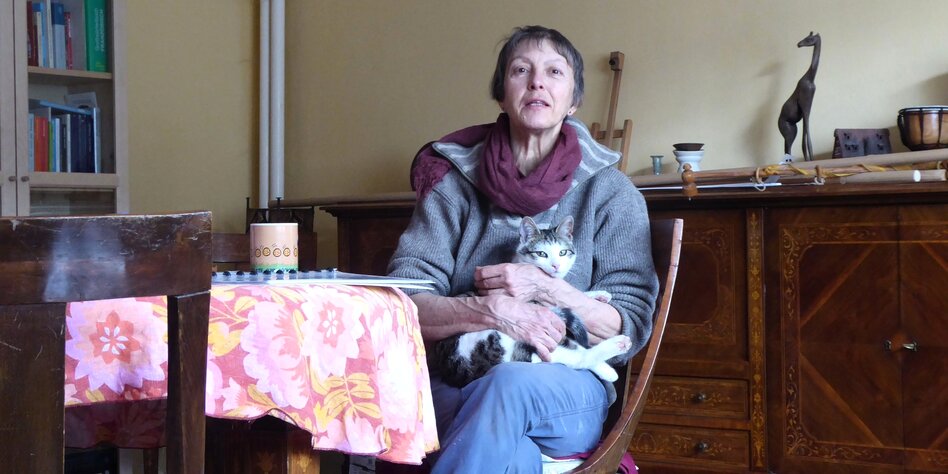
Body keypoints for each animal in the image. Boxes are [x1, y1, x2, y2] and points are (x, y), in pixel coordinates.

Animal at [431, 215, 632, 388]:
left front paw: (599, 295)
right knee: (575, 358)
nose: (556, 266)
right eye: (542, 253)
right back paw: (618, 345)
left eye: (563, 252)